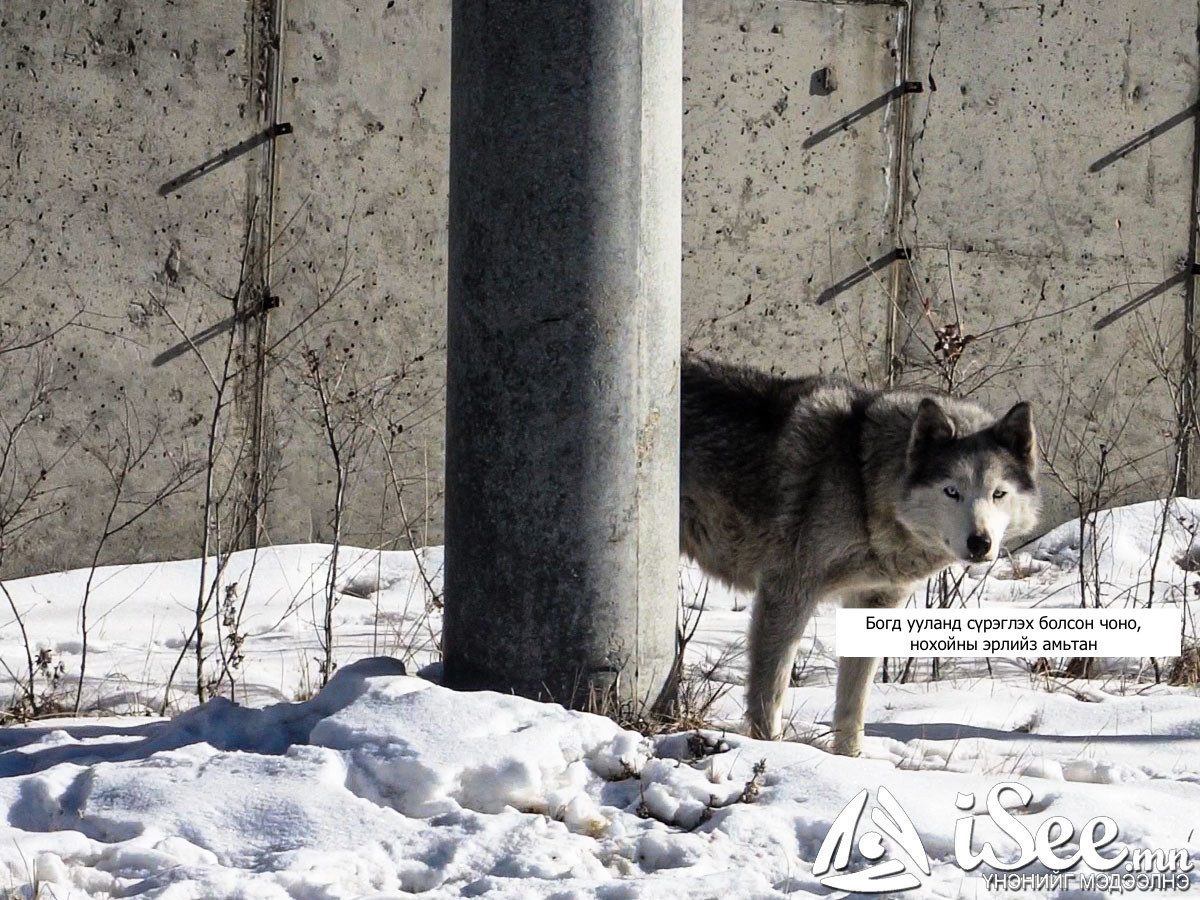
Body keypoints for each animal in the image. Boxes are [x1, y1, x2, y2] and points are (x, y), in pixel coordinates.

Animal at [681, 352, 1036, 753]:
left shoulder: (874, 602)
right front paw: (771, 749)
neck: (866, 485)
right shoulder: (786, 593)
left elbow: (854, 704)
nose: (980, 543)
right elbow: (769, 694)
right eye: (951, 491)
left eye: (998, 494)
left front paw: (850, 760)